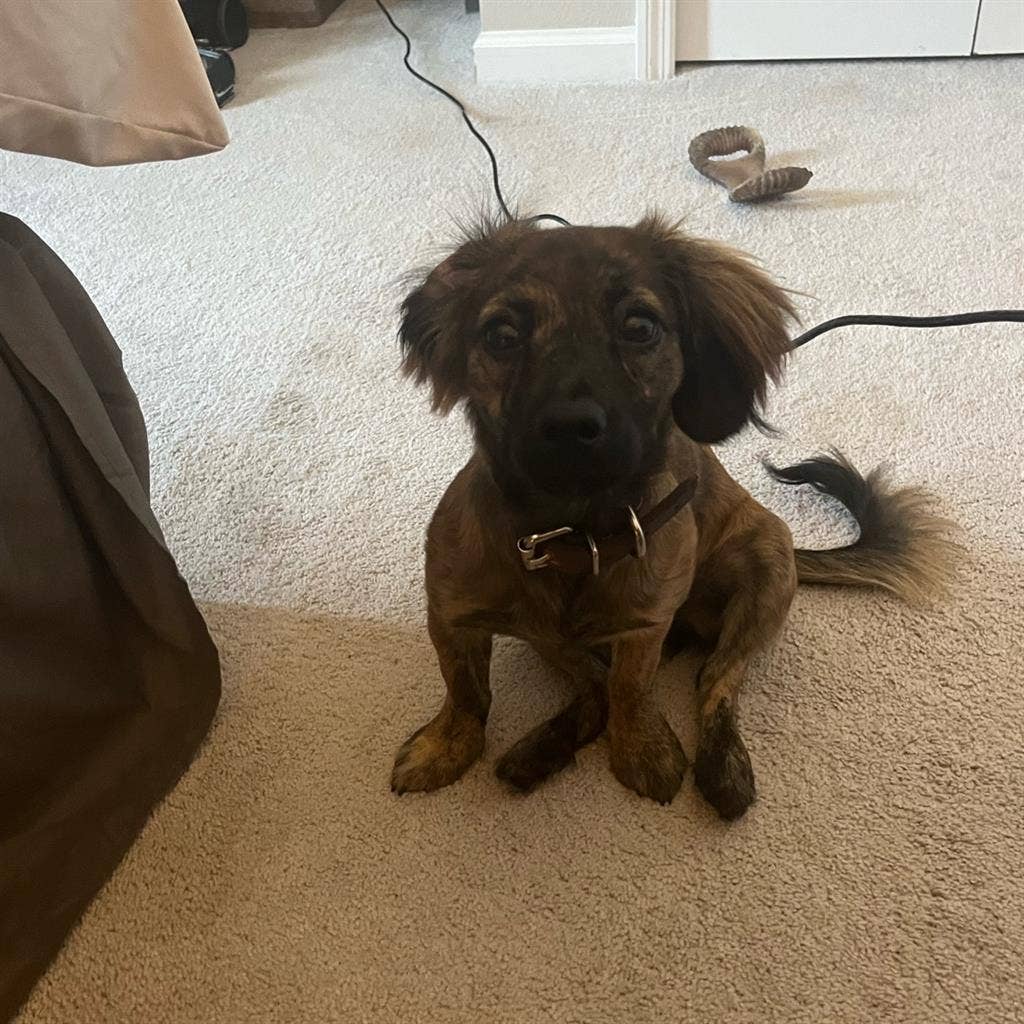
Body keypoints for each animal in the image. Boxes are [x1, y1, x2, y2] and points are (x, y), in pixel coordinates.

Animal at [387, 214, 954, 815]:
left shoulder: (645, 627)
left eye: (639, 326)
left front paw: (643, 750)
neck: (573, 533)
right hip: (550, 637)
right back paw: (537, 754)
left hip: (767, 566)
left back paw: (722, 768)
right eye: (501, 335)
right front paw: (444, 748)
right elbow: (467, 692)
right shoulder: (451, 616)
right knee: (593, 686)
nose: (569, 426)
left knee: (715, 679)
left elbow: (631, 690)